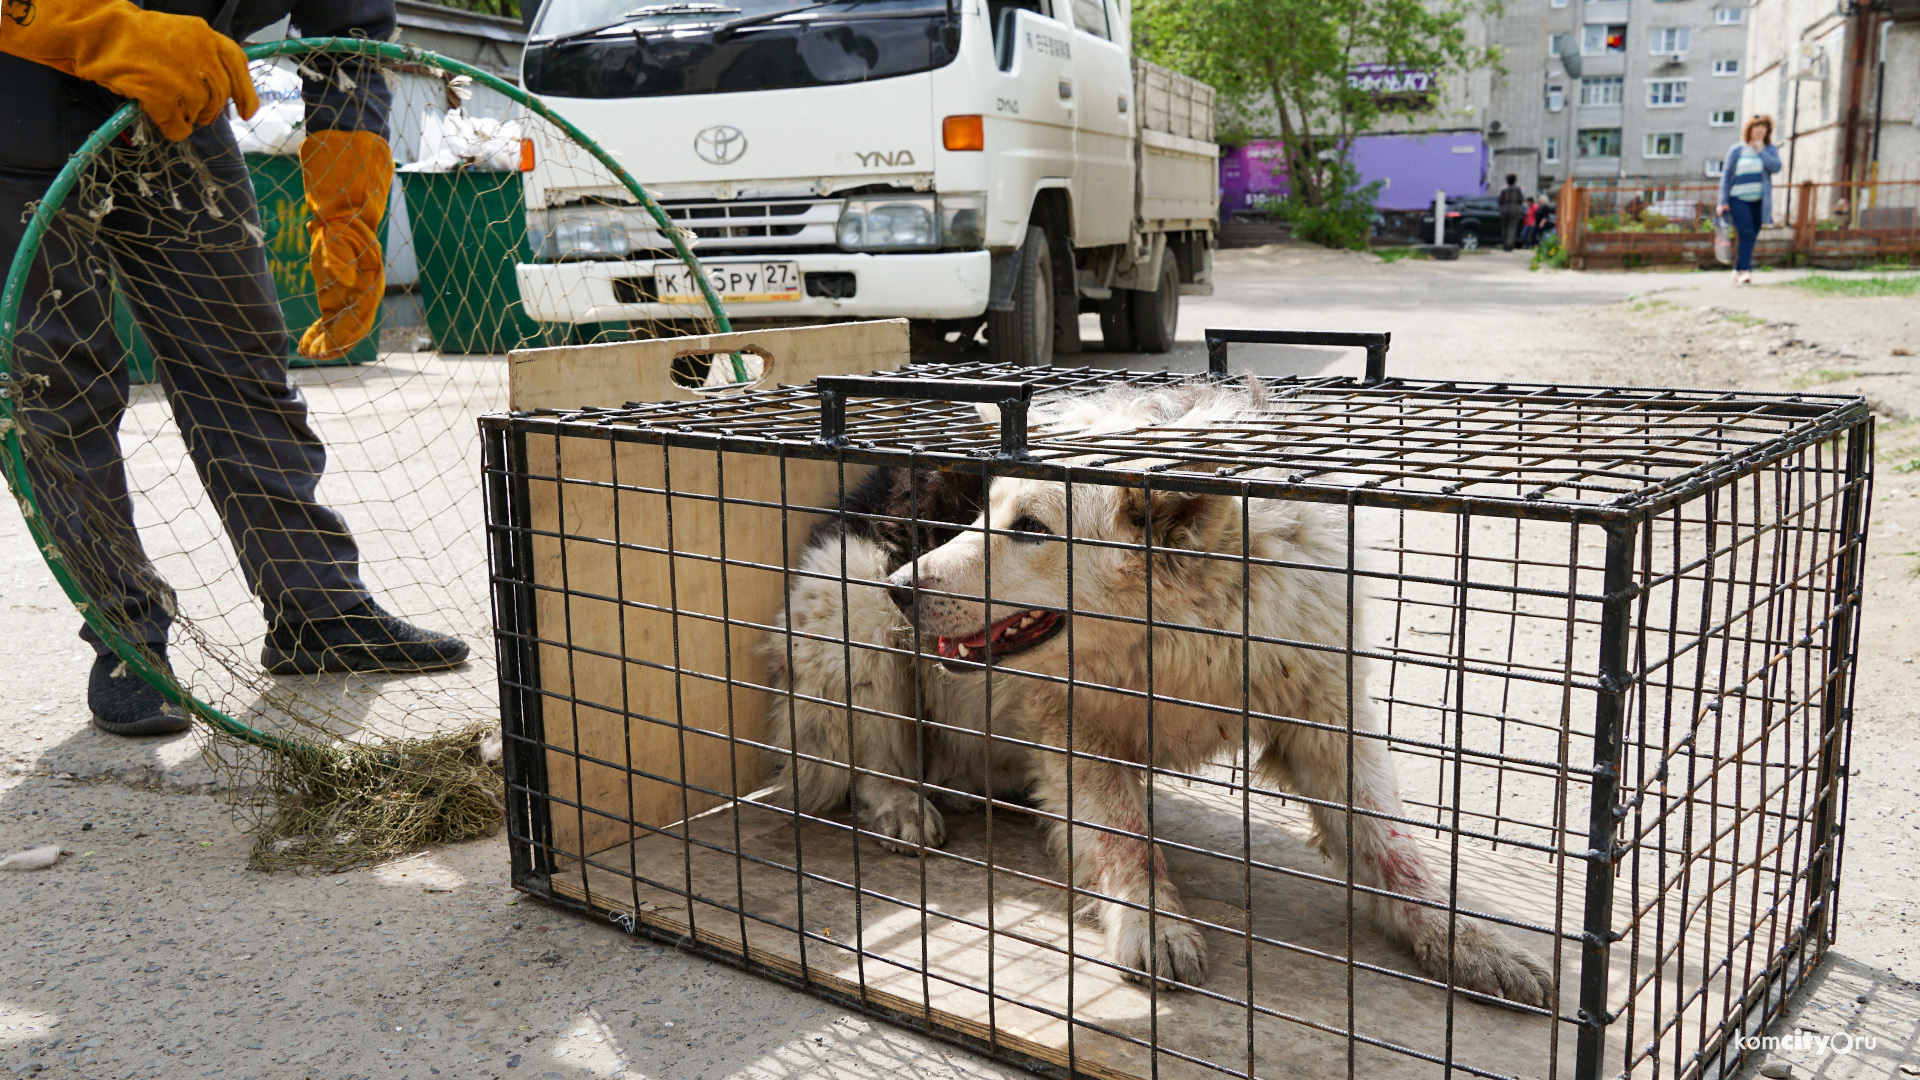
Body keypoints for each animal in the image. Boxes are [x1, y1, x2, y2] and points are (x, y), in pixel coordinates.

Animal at [756, 378, 1551, 999]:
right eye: (980, 513)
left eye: (1030, 528)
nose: (903, 587)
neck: (1180, 636)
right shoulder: (1076, 729)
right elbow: (1125, 840)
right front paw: (1153, 921)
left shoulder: (1326, 718)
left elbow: (1393, 849)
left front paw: (1463, 938)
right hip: (844, 598)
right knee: (863, 758)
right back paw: (900, 802)